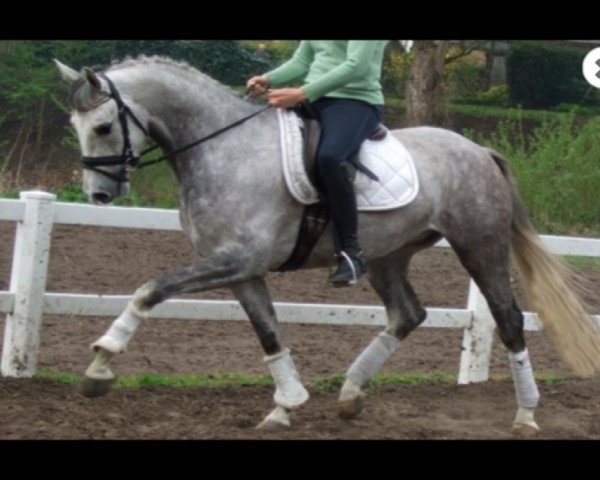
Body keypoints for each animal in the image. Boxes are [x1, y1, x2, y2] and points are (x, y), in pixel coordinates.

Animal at [54, 55, 600, 436]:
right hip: (388, 255)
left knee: (508, 320)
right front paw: (286, 405)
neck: (223, 149)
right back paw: (351, 393)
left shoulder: (236, 260)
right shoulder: (241, 268)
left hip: (479, 246)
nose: (99, 195)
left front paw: (100, 364)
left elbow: (151, 289)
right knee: (408, 314)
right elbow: (268, 333)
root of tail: (479, 150)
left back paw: (526, 416)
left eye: (103, 126)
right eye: (75, 127)